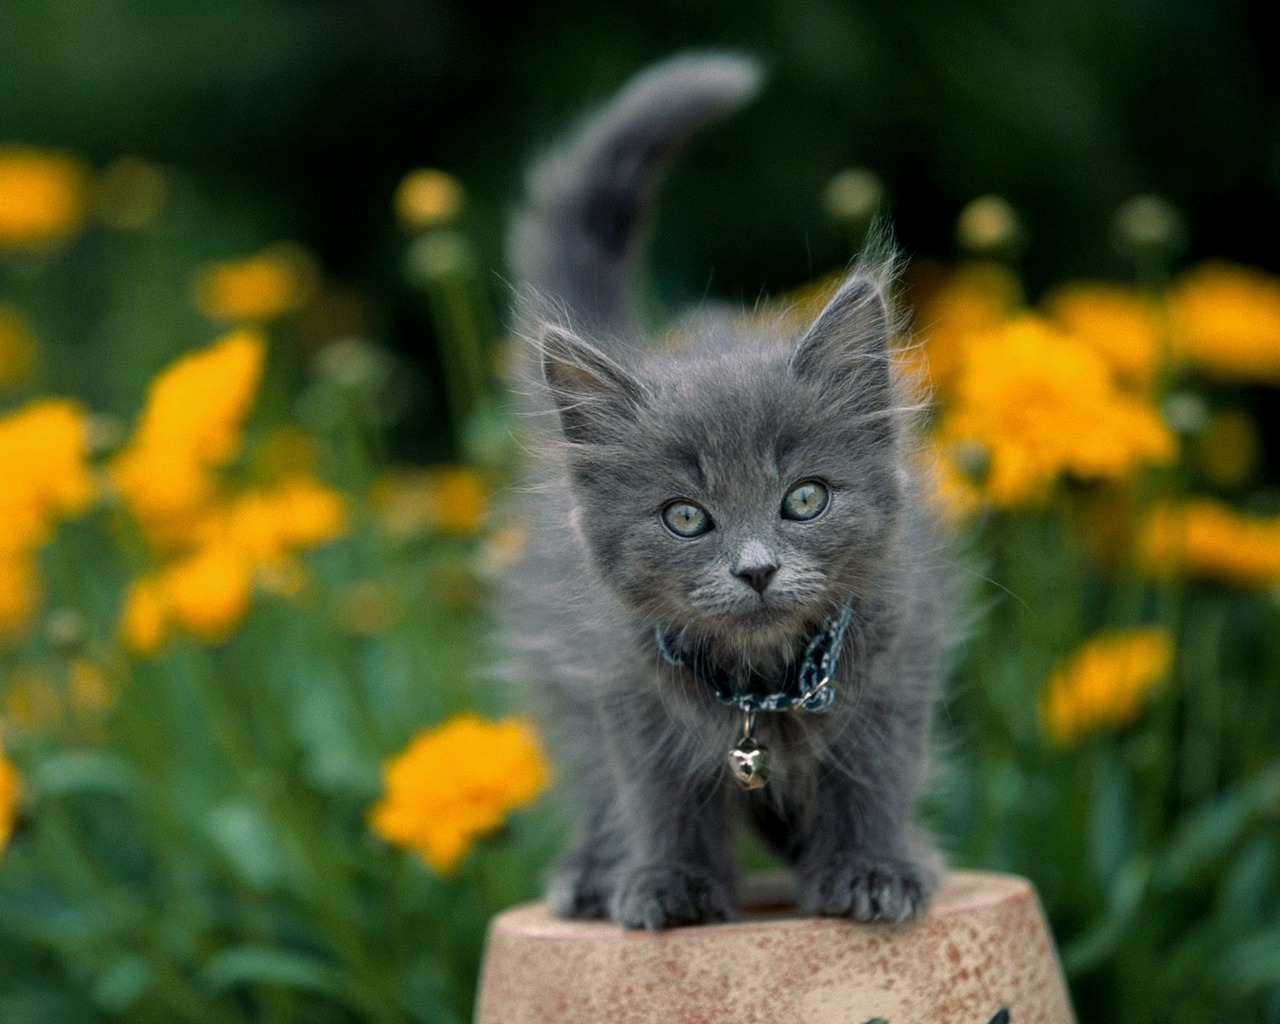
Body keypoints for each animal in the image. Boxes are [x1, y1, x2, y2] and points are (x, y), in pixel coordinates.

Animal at [494, 57, 957, 936]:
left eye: (805, 501)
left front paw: (874, 869)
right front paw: (667, 883)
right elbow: (659, 797)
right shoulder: (624, 687)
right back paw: (594, 873)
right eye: (685, 517)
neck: (761, 681)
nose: (757, 570)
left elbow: (873, 784)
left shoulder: (895, 666)